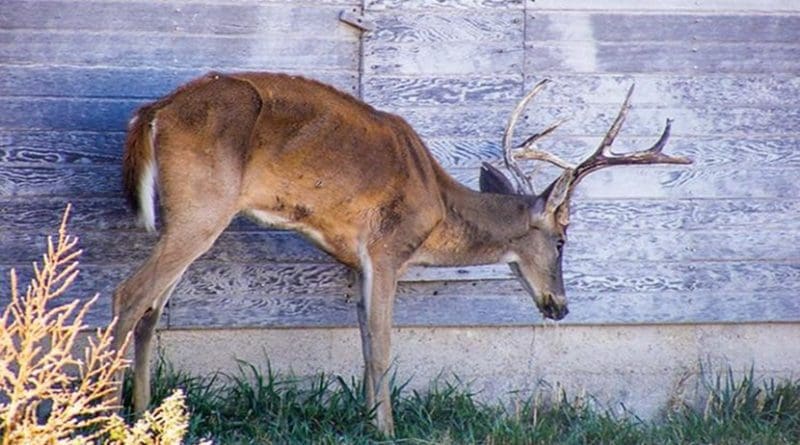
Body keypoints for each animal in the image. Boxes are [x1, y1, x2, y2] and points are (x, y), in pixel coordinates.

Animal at [109, 71, 692, 436]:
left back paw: (144, 413)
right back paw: (104, 413)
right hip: (203, 207)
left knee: (151, 309)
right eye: (564, 239)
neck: (437, 207)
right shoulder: (388, 248)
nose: (561, 306)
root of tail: (153, 113)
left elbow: (366, 342)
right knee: (128, 294)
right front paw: (387, 429)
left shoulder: (355, 262)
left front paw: (368, 420)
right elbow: (384, 347)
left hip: (188, 215)